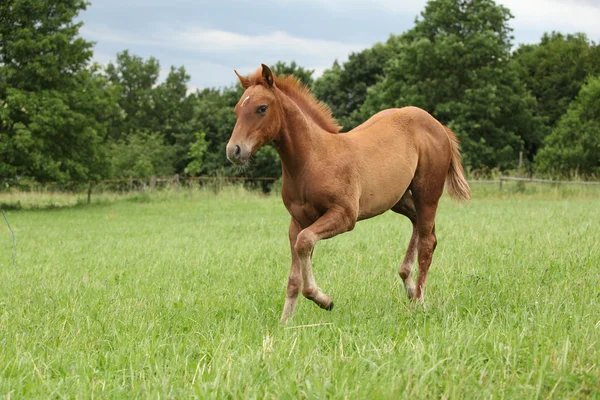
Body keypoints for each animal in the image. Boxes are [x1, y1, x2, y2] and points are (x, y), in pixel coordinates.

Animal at [225, 64, 468, 324]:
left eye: (262, 108)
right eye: (237, 109)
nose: (234, 150)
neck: (312, 159)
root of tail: (437, 125)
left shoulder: (344, 215)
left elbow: (305, 242)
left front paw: (323, 300)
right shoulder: (297, 220)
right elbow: (295, 273)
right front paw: (285, 322)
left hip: (427, 192)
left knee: (427, 240)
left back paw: (419, 302)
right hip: (398, 198)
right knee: (420, 226)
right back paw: (409, 286)